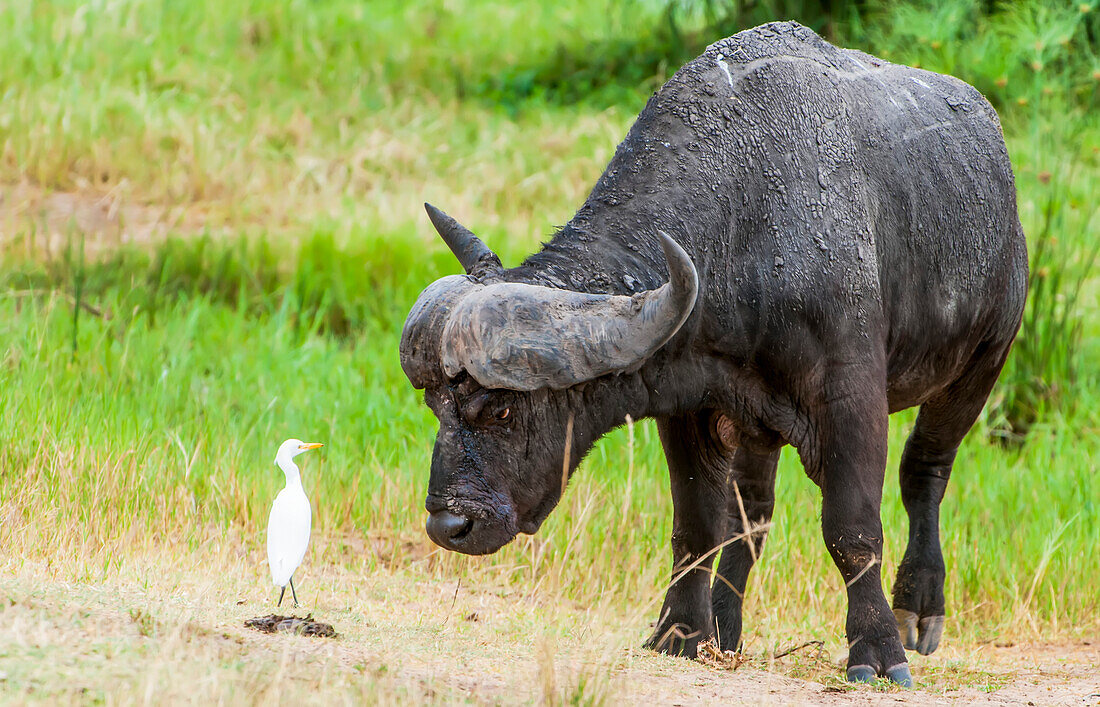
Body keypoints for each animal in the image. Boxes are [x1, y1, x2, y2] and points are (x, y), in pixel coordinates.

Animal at [400, 20, 1025, 686]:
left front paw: (877, 650)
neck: (743, 230)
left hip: (981, 365)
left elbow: (852, 529)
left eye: (501, 409)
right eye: (435, 405)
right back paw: (726, 624)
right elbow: (700, 525)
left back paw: (918, 606)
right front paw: (678, 631)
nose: (449, 524)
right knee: (752, 511)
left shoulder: (853, 399)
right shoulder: (690, 405)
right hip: (760, 421)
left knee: (925, 471)